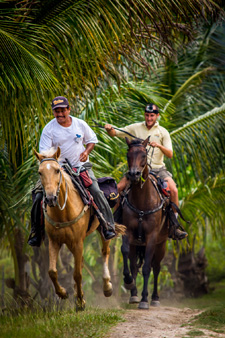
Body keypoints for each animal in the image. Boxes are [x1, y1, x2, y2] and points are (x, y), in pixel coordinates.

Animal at [35, 147, 114, 310]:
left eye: (57, 170)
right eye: (40, 172)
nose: (50, 198)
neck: (63, 212)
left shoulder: (78, 242)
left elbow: (77, 274)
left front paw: (79, 302)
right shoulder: (54, 241)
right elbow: (52, 271)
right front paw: (63, 293)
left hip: (102, 231)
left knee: (105, 252)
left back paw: (107, 287)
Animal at [121, 137, 169, 308]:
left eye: (143, 154)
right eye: (128, 155)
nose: (134, 174)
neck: (142, 201)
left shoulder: (152, 237)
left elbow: (148, 267)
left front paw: (144, 300)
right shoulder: (128, 232)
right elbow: (124, 252)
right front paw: (129, 282)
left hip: (161, 244)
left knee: (156, 268)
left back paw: (154, 298)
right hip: (136, 244)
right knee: (134, 266)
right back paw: (134, 294)